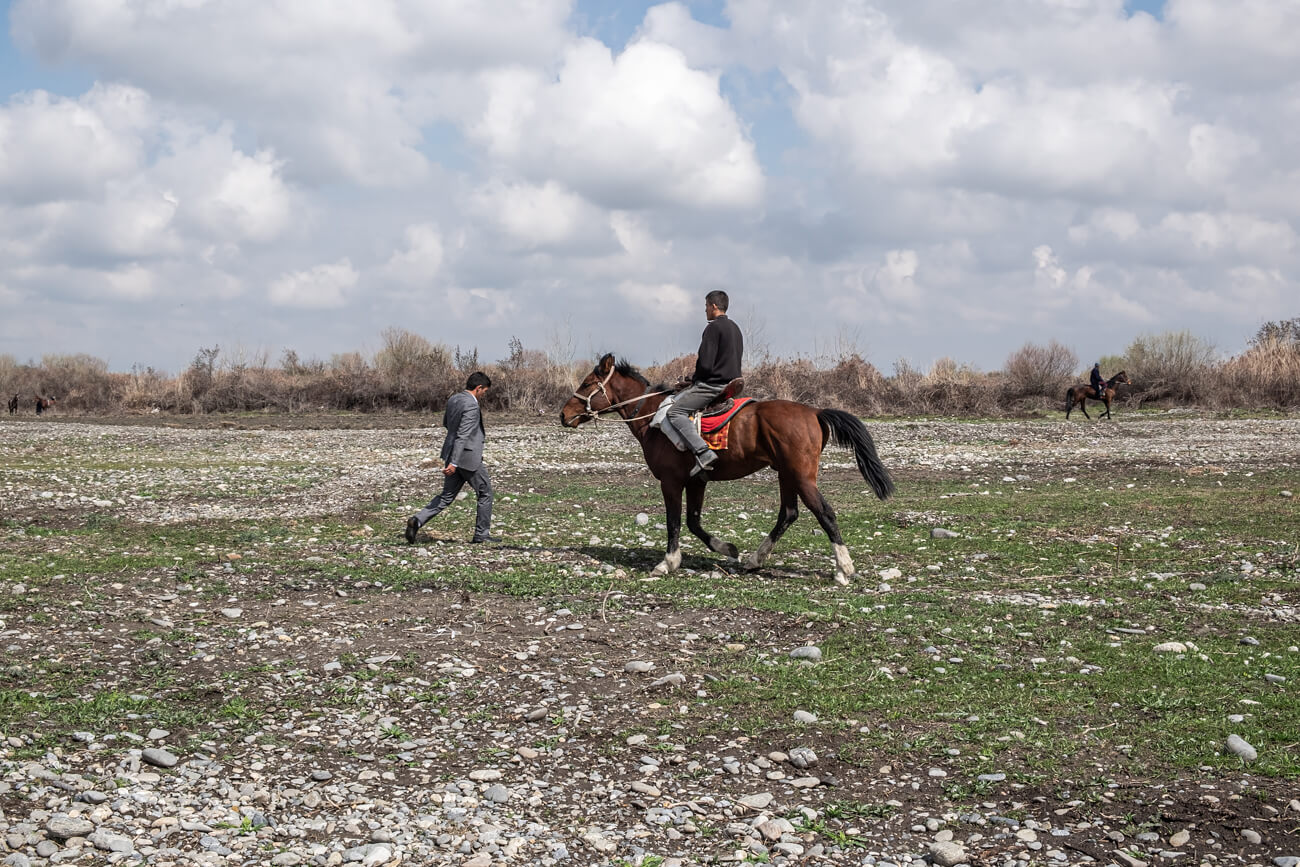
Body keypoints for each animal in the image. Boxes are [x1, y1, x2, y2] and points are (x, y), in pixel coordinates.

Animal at [559, 356, 894, 587]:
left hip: (801, 476)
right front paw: (728, 549)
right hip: (786, 475)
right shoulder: (696, 481)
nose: (563, 415)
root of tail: (814, 412)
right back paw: (755, 560)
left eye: (587, 384)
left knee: (825, 513)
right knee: (788, 513)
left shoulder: (671, 482)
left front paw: (668, 563)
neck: (653, 416)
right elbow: (694, 523)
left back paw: (843, 569)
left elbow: (674, 522)